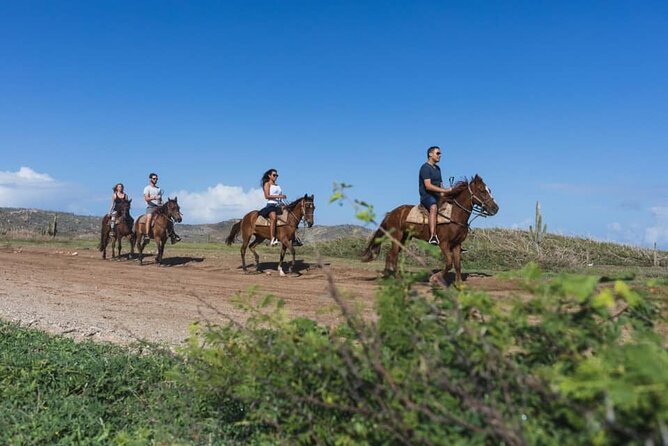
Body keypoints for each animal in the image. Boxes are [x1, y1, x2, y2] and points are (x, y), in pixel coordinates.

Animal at [362, 175, 498, 286]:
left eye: (489, 190)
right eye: (481, 190)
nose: (495, 208)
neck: (454, 215)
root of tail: (391, 213)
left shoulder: (457, 244)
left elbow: (458, 265)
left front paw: (459, 284)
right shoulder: (444, 244)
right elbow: (449, 263)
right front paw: (435, 278)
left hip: (404, 239)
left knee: (389, 255)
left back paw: (387, 275)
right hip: (397, 237)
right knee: (393, 256)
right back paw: (397, 278)